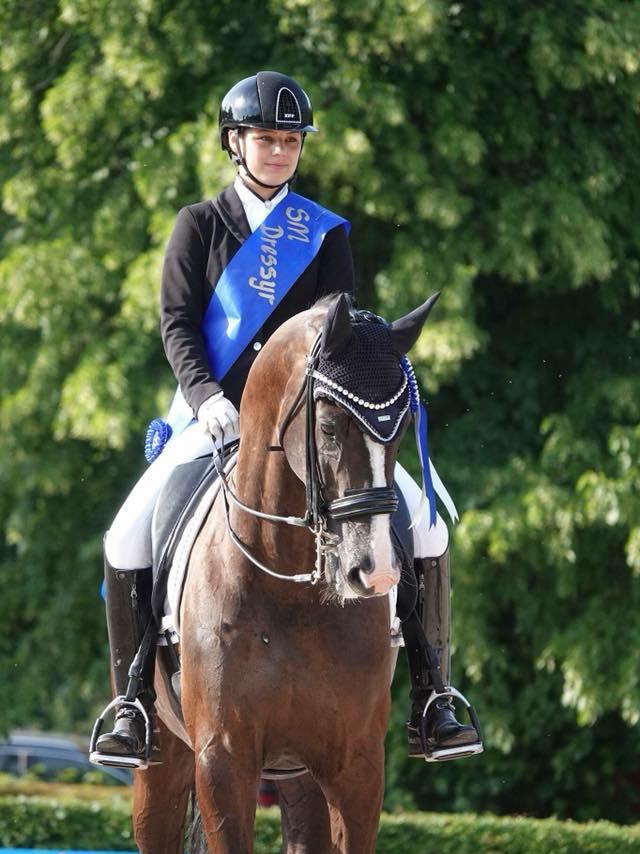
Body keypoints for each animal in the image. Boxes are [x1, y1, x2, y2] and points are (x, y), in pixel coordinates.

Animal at [133, 296, 438, 854]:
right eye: (330, 426)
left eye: (405, 426)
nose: (376, 573)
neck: (288, 584)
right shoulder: (223, 761)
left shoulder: (356, 764)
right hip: (162, 760)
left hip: (299, 775)